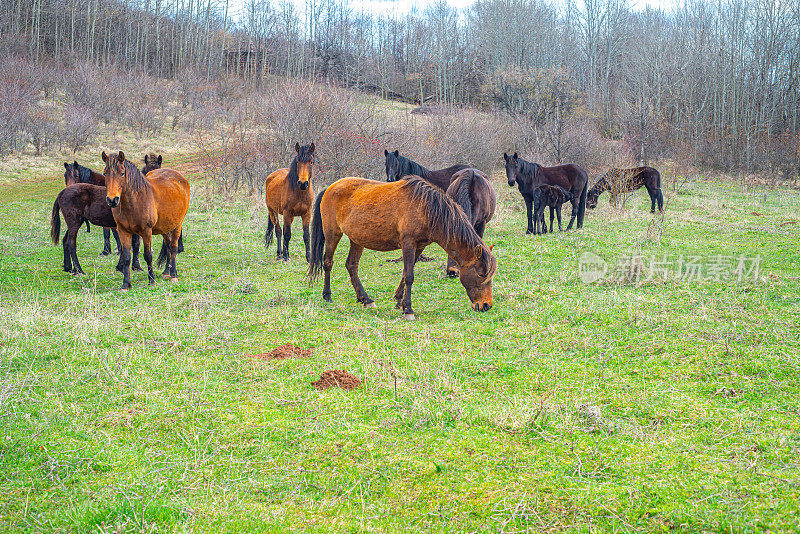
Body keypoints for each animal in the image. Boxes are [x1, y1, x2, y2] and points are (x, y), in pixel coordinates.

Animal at [102, 151, 190, 292]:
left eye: (122, 173)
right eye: (105, 173)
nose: (112, 200)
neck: (135, 201)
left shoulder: (146, 231)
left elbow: (148, 255)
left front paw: (151, 280)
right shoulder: (123, 231)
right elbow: (127, 257)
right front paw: (126, 284)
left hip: (177, 225)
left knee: (173, 248)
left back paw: (173, 275)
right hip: (165, 227)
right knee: (168, 247)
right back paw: (166, 272)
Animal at [310, 176, 496, 320]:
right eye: (481, 274)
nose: (486, 305)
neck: (426, 209)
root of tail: (330, 187)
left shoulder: (419, 247)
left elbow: (406, 272)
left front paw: (399, 301)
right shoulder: (408, 244)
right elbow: (409, 276)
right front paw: (408, 309)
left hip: (357, 239)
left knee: (351, 266)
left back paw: (365, 299)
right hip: (333, 234)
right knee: (328, 263)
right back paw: (327, 296)